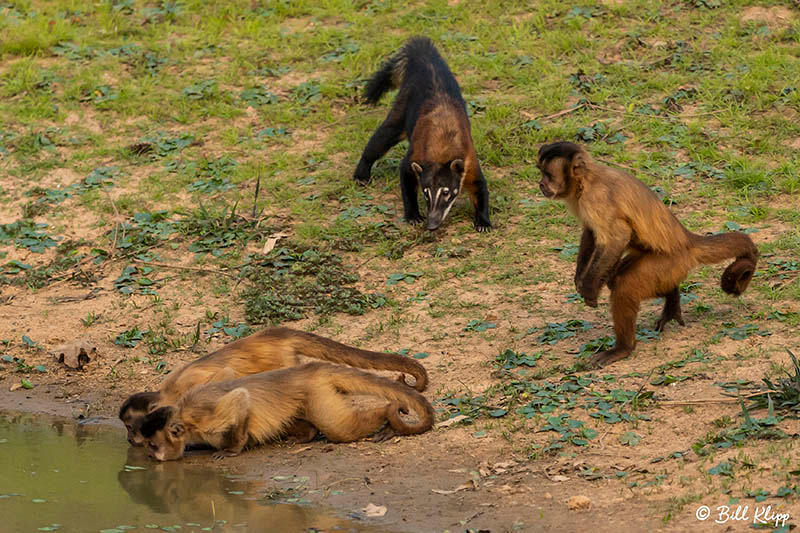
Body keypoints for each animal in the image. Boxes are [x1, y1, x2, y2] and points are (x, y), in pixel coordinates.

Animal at [117, 328, 424, 444]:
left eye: (131, 427)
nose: (130, 439)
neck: (168, 394)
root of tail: (276, 333)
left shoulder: (188, 388)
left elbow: (225, 378)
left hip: (282, 362)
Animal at [141, 362, 434, 462]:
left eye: (153, 445)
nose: (151, 456)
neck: (183, 418)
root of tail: (308, 368)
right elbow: (228, 374)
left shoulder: (202, 418)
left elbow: (240, 398)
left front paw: (233, 449)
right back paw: (306, 434)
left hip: (316, 391)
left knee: (339, 428)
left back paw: (389, 413)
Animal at [354, 35, 490, 231]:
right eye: (426, 193)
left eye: (446, 192)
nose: (431, 225)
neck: (443, 148)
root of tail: (425, 56)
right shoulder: (416, 152)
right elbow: (405, 175)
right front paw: (413, 214)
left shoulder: (468, 158)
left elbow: (480, 186)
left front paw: (484, 220)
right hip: (402, 108)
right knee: (380, 139)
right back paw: (362, 171)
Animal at [536, 141, 756, 366]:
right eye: (541, 172)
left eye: (548, 175)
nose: (541, 184)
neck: (586, 180)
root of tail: (687, 240)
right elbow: (590, 232)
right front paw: (580, 279)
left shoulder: (595, 198)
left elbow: (617, 237)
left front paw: (589, 289)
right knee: (618, 279)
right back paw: (672, 297)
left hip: (671, 261)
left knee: (624, 286)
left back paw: (623, 348)